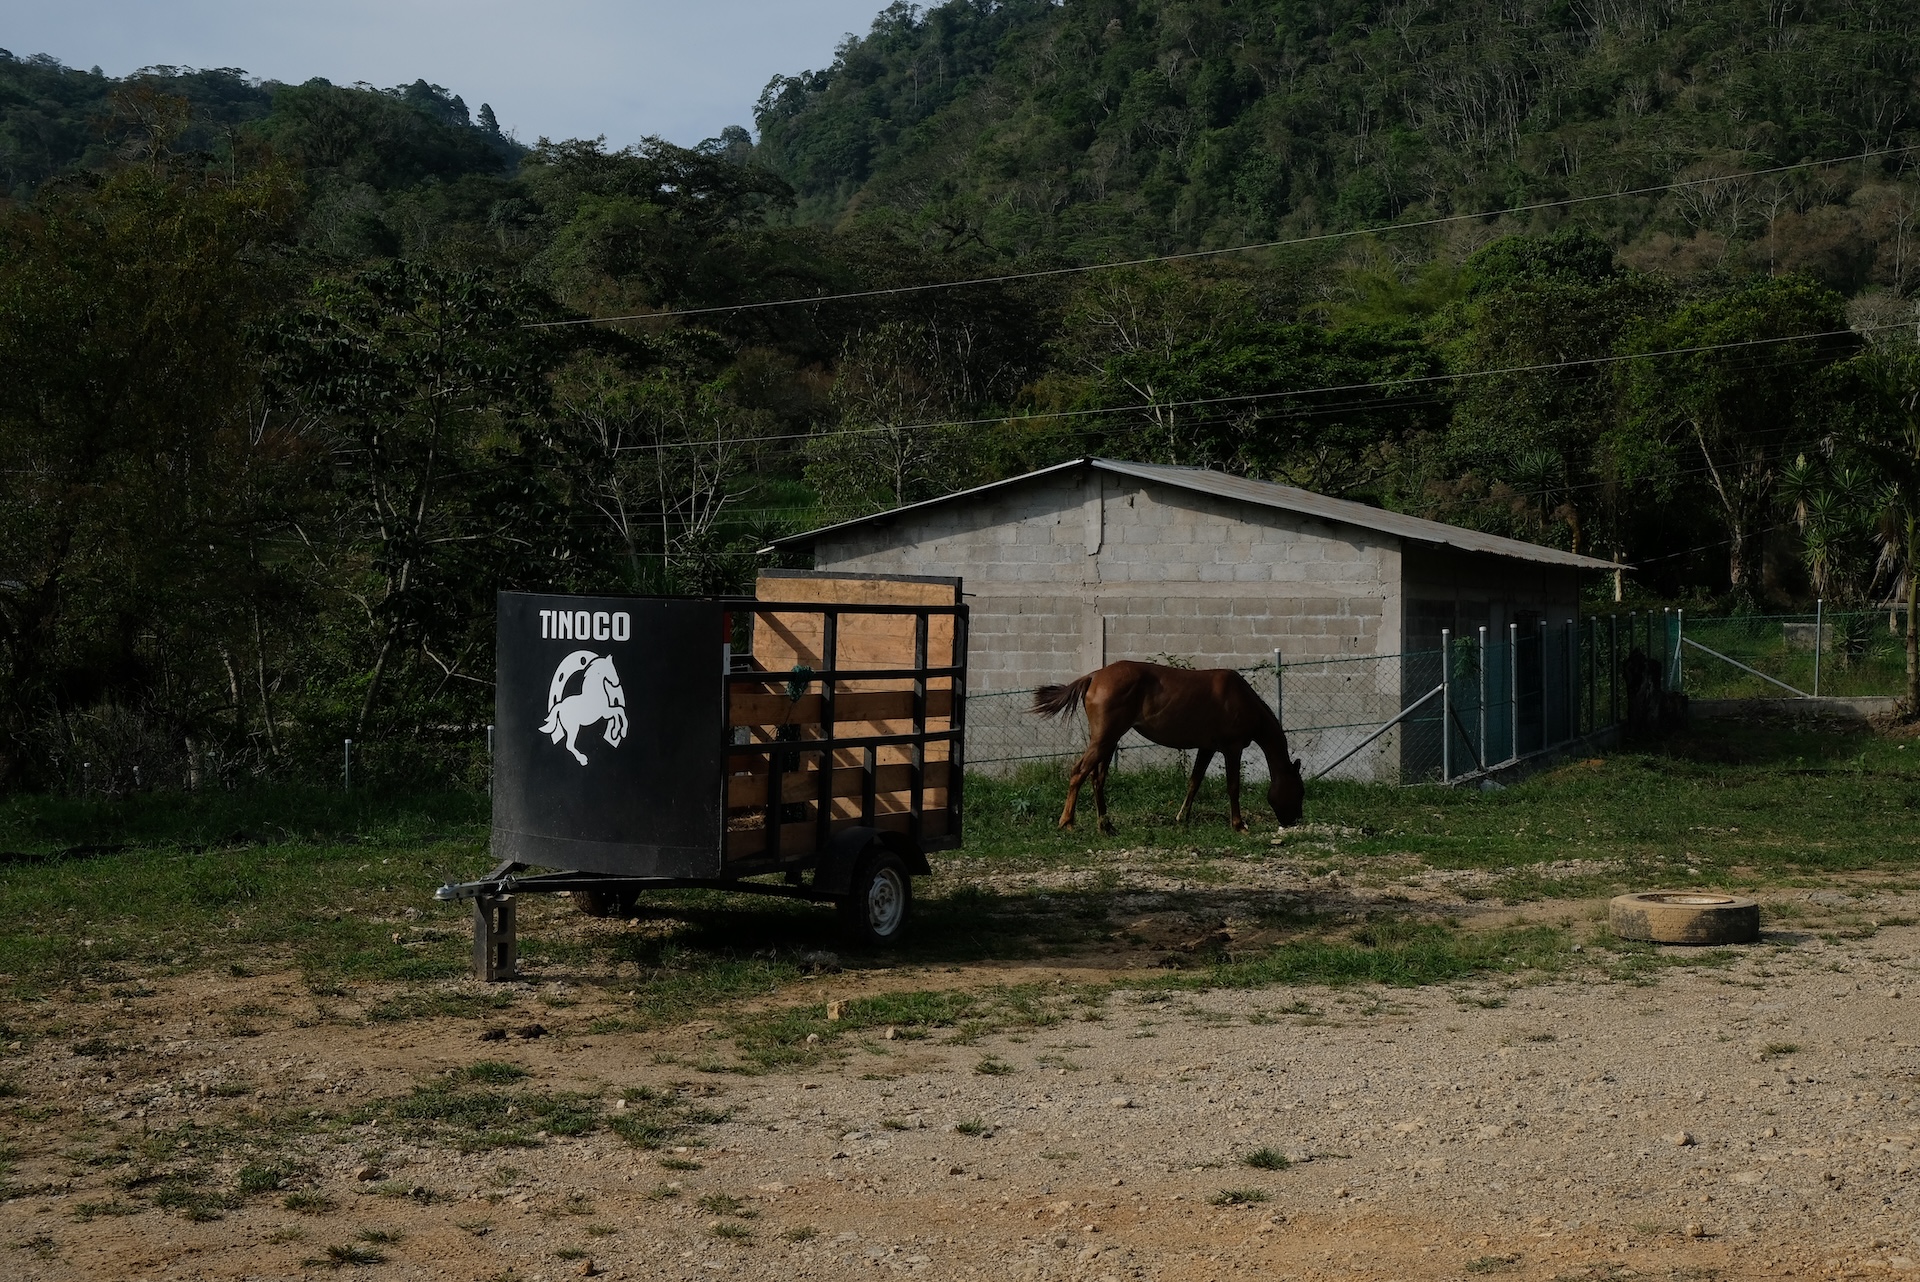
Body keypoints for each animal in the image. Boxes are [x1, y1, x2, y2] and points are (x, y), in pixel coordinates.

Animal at [1036, 667, 1305, 836]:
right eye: (1300, 790)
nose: (1295, 820)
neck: (1241, 698)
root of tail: (1094, 676)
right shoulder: (1232, 748)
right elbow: (1233, 786)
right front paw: (1239, 825)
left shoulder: (1207, 748)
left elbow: (1194, 782)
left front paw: (1181, 818)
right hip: (1104, 738)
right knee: (1079, 772)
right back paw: (1067, 822)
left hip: (1109, 740)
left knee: (1097, 778)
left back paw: (1106, 827)